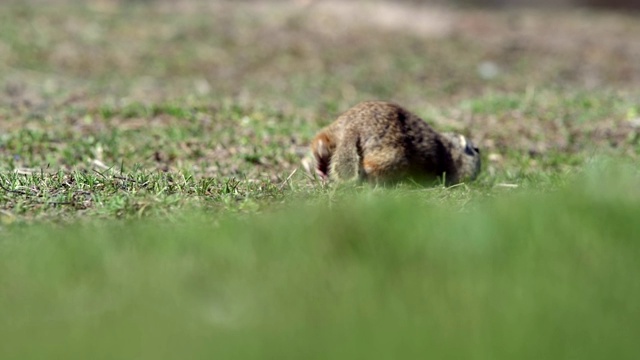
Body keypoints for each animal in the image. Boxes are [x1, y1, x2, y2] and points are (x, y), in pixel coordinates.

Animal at [304, 100, 480, 186]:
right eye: (476, 149)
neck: (451, 150)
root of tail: (353, 127)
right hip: (393, 155)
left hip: (331, 132)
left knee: (320, 146)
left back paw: (321, 171)